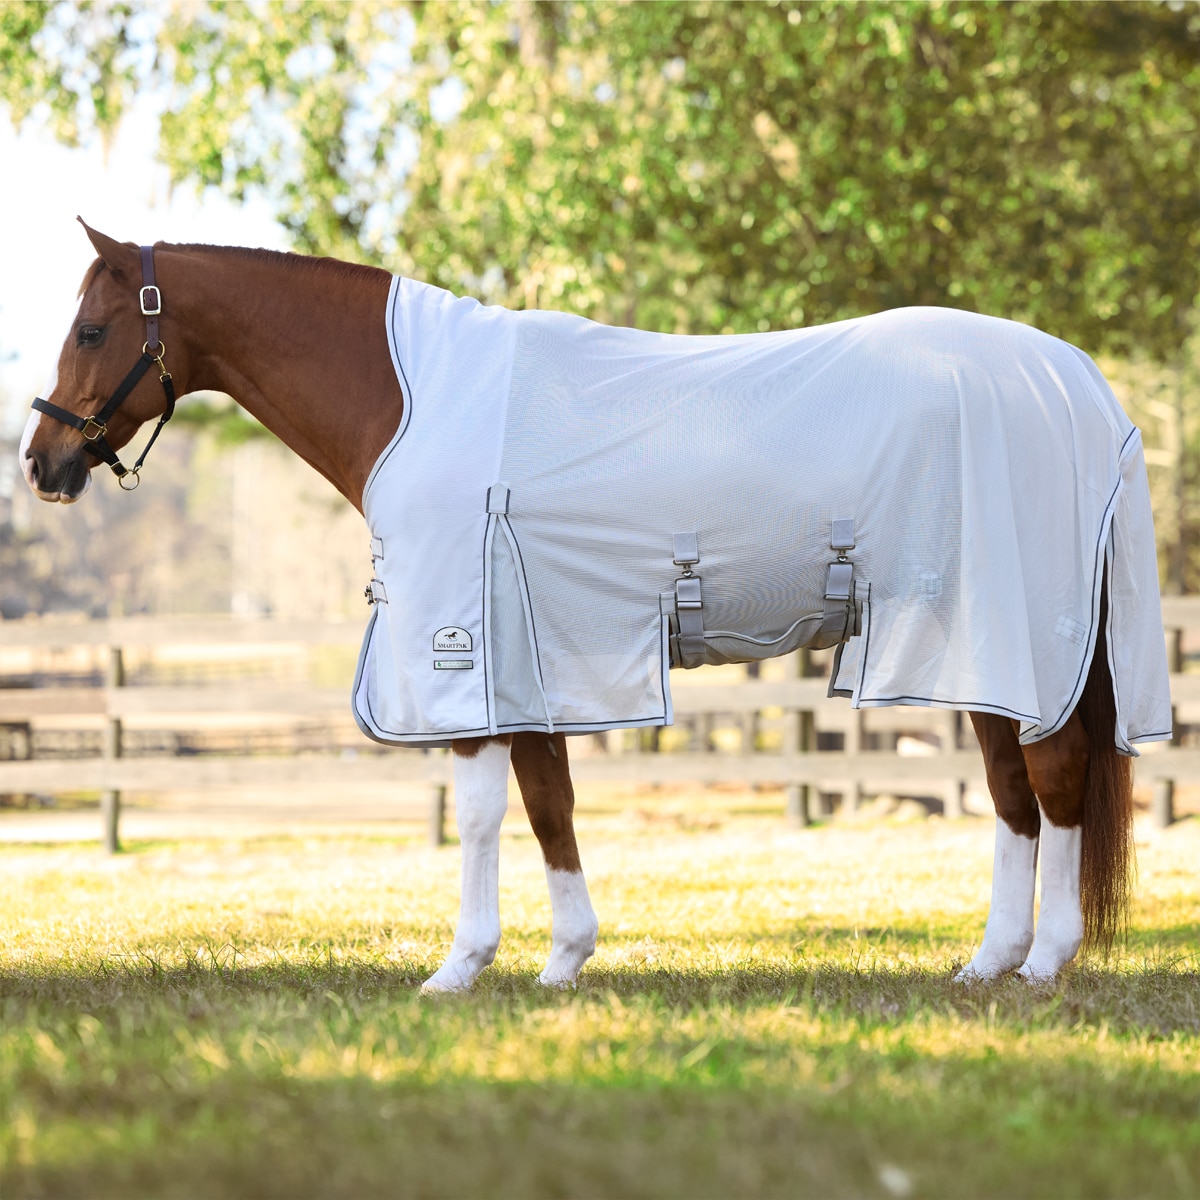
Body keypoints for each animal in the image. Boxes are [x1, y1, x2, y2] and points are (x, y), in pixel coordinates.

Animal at [19, 220, 1171, 992]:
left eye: (92, 328)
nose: (41, 463)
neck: (413, 401)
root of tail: (1076, 381)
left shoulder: (467, 648)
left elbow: (484, 809)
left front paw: (460, 968)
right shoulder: (533, 656)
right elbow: (549, 802)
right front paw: (564, 961)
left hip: (1010, 637)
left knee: (1052, 781)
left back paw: (1043, 963)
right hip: (978, 648)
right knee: (1015, 794)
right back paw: (988, 964)